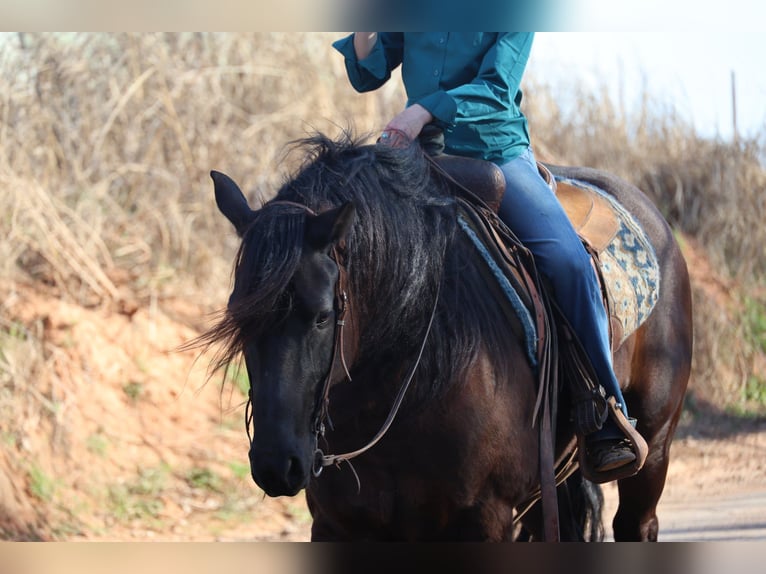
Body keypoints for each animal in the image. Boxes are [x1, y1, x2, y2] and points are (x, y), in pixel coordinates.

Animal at [200, 132, 692, 541]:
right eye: (238, 318)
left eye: (322, 318)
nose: (276, 464)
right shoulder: (337, 523)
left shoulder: (484, 518)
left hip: (654, 448)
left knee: (637, 523)